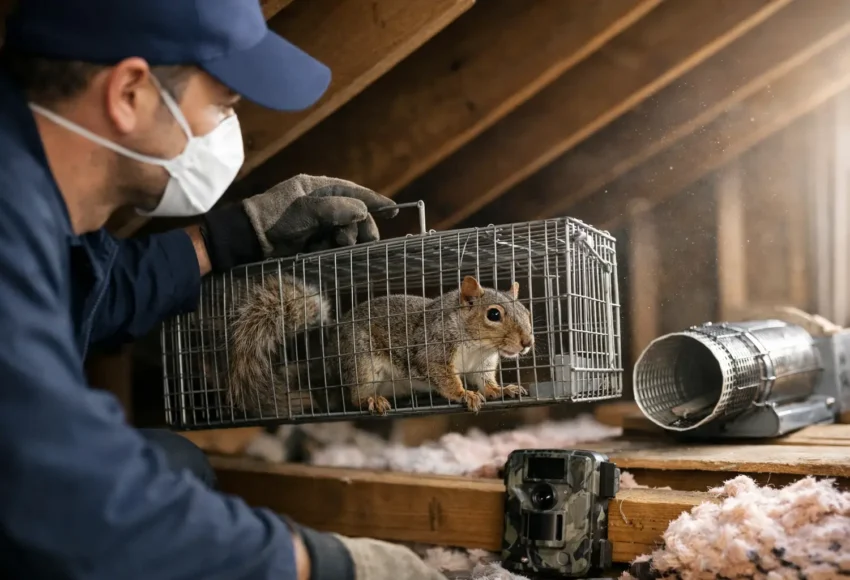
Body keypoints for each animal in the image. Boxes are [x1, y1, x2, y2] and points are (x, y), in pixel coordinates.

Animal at [331, 275, 535, 415]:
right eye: (493, 314)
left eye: (527, 312)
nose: (527, 342)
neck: (479, 347)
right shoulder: (434, 351)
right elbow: (446, 379)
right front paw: (465, 394)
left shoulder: (482, 364)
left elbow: (485, 382)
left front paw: (502, 390)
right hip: (362, 360)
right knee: (356, 396)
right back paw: (372, 399)